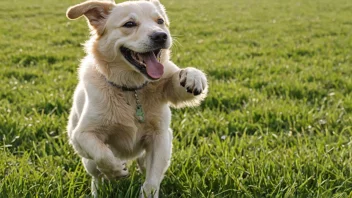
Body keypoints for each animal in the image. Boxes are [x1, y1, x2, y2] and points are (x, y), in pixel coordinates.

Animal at [65, 0, 208, 196]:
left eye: (160, 21)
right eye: (129, 24)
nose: (160, 36)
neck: (132, 89)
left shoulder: (161, 137)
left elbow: (151, 183)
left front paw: (192, 76)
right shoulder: (82, 134)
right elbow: (103, 154)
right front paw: (115, 170)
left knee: (144, 165)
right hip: (89, 162)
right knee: (97, 176)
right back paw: (100, 189)